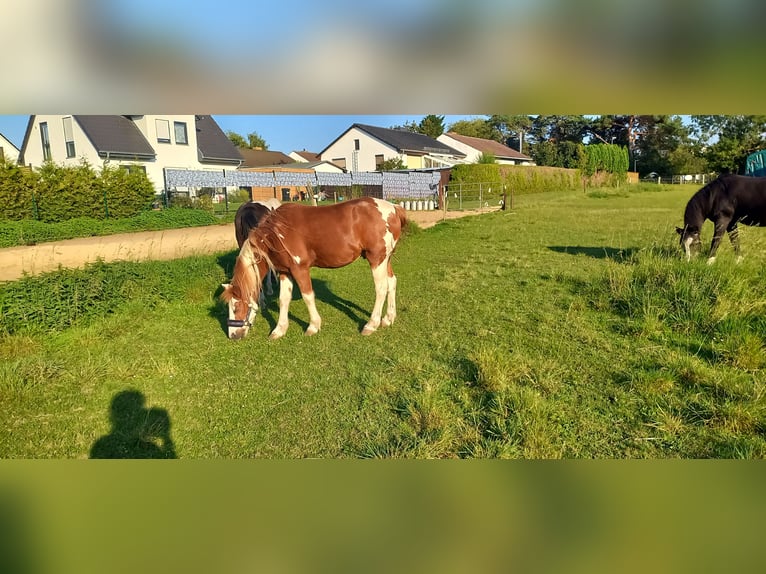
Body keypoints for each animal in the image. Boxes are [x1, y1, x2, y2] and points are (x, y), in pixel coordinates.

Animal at [220, 197, 407, 340]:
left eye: (236, 307)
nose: (233, 335)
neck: (276, 233)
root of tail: (394, 208)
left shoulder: (300, 269)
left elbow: (308, 296)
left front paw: (313, 326)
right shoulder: (284, 272)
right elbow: (283, 299)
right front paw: (279, 330)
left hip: (376, 259)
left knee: (381, 288)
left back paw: (371, 324)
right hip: (386, 258)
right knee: (392, 282)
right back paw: (388, 319)